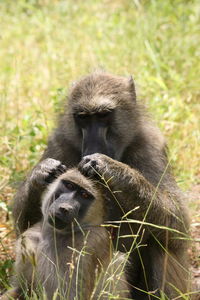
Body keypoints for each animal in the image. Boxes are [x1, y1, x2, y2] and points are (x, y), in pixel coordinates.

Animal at [3, 169, 130, 300]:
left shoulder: (89, 244)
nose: (64, 208)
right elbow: (21, 289)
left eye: (84, 195)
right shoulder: (29, 240)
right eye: (69, 185)